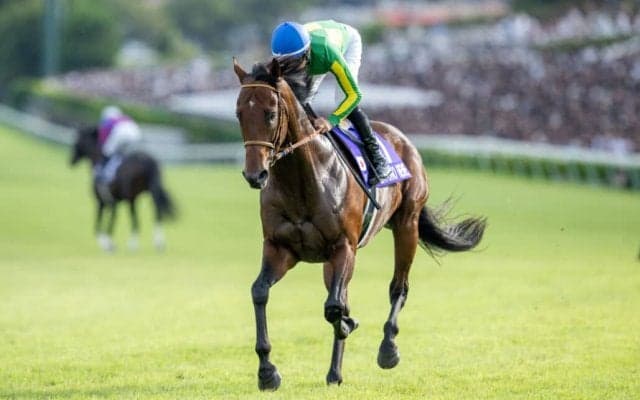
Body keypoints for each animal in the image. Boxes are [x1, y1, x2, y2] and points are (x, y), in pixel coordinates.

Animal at [233, 58, 487, 390]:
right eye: (239, 113)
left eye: (270, 114)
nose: (255, 175)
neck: (303, 180)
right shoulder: (280, 248)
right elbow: (260, 292)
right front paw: (267, 372)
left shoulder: (344, 246)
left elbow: (334, 307)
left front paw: (349, 325)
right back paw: (334, 372)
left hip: (407, 224)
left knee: (398, 287)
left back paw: (387, 349)